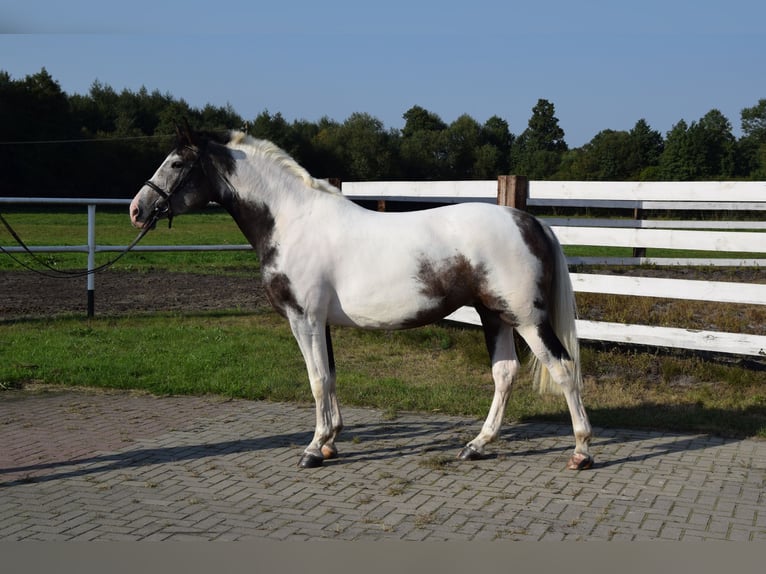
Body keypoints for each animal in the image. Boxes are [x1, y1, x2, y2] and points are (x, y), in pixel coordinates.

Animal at [130, 128, 592, 470]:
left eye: (176, 163)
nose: (137, 209)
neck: (293, 221)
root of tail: (530, 221)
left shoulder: (304, 318)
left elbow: (316, 379)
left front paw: (313, 449)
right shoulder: (320, 322)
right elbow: (330, 376)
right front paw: (330, 441)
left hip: (526, 319)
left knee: (564, 368)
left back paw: (581, 451)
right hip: (494, 315)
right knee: (505, 373)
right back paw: (477, 445)